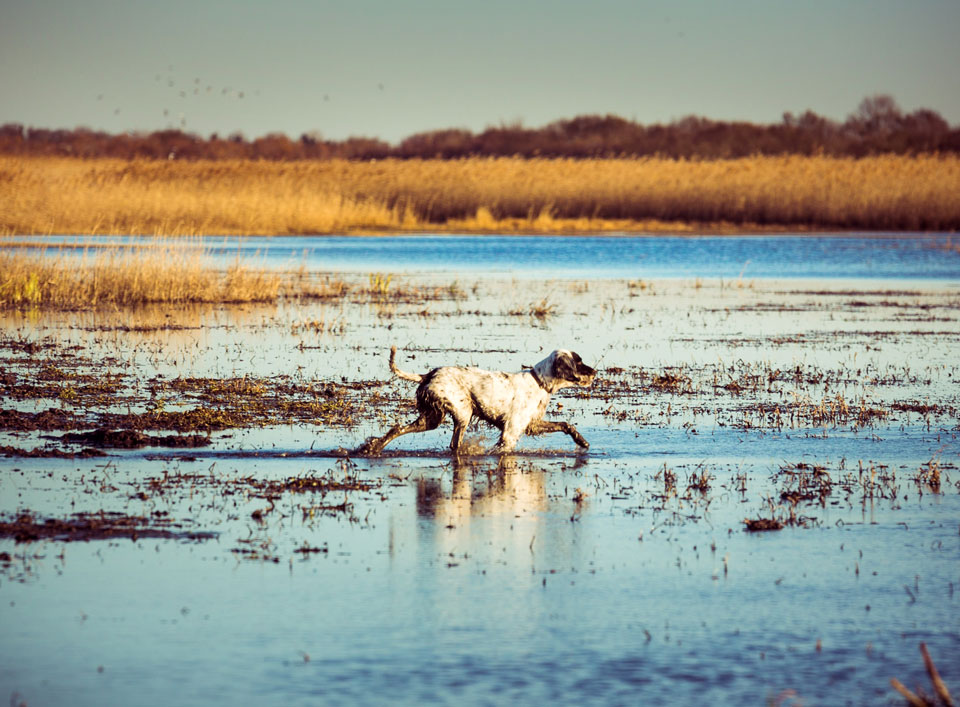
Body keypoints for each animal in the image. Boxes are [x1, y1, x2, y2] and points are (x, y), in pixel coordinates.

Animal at [354, 346, 592, 456]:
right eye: (579, 362)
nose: (594, 372)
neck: (539, 381)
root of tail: (428, 374)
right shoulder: (509, 435)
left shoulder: (531, 425)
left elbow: (566, 425)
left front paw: (582, 441)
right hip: (462, 413)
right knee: (455, 445)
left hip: (431, 418)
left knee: (396, 429)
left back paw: (372, 447)